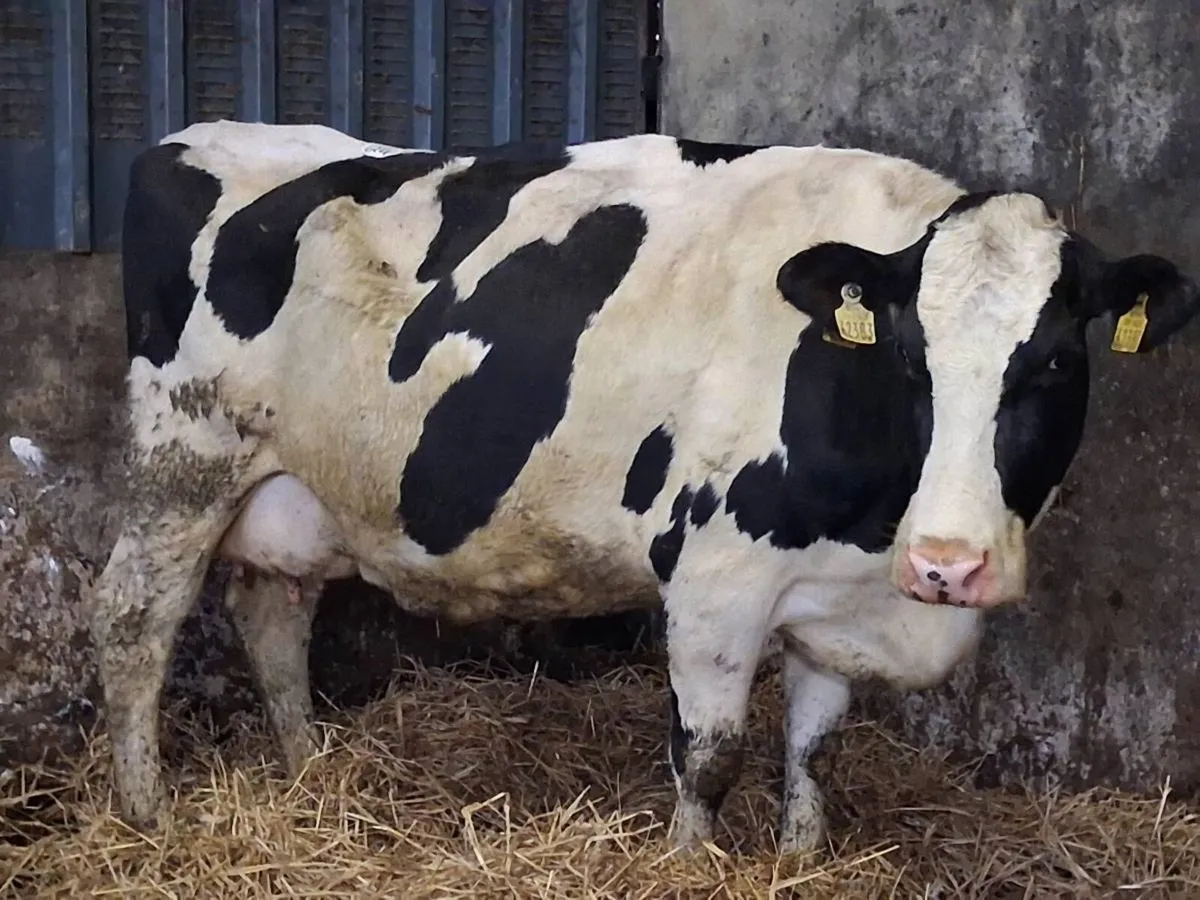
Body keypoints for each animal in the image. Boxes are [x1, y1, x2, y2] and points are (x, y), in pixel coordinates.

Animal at [91, 120, 1200, 854]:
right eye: (906, 356)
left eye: (1055, 361)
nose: (949, 564)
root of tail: (193, 137)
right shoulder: (715, 579)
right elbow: (710, 755)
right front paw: (690, 863)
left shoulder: (833, 600)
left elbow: (814, 754)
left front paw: (798, 860)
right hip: (182, 458)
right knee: (135, 623)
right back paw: (148, 814)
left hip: (291, 487)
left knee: (272, 615)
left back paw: (307, 774)